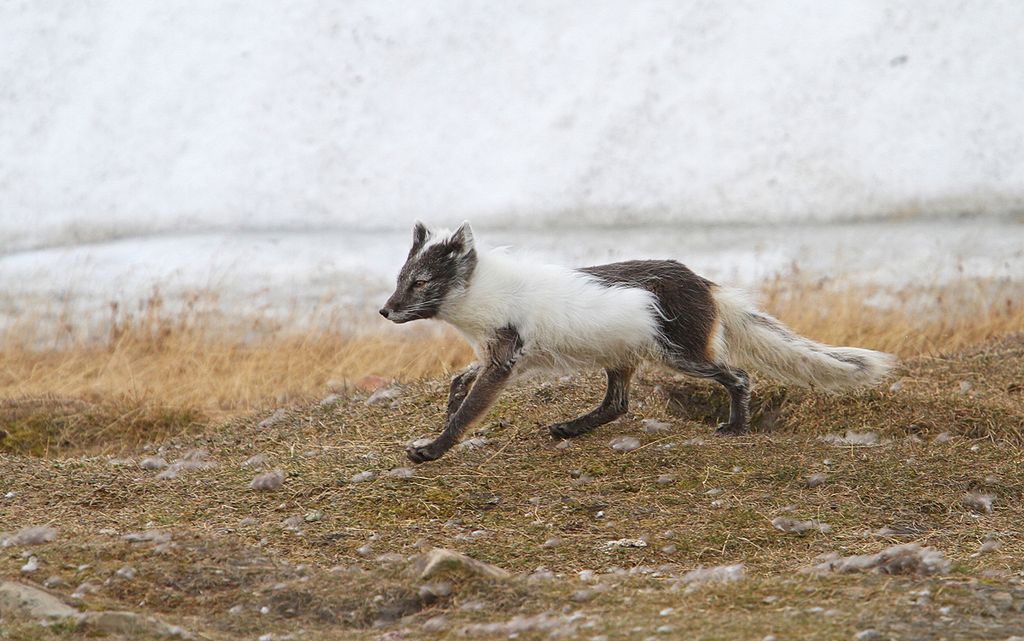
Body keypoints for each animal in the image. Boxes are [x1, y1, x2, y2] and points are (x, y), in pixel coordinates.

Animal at [380, 222, 892, 460]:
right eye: (401, 278)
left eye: (421, 282)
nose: (385, 311)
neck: (482, 297)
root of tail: (704, 283)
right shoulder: (502, 355)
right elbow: (459, 381)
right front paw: (449, 405)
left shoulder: (504, 357)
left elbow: (468, 412)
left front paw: (431, 450)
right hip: (623, 356)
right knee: (618, 405)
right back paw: (569, 429)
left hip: (682, 354)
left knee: (740, 375)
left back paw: (735, 427)